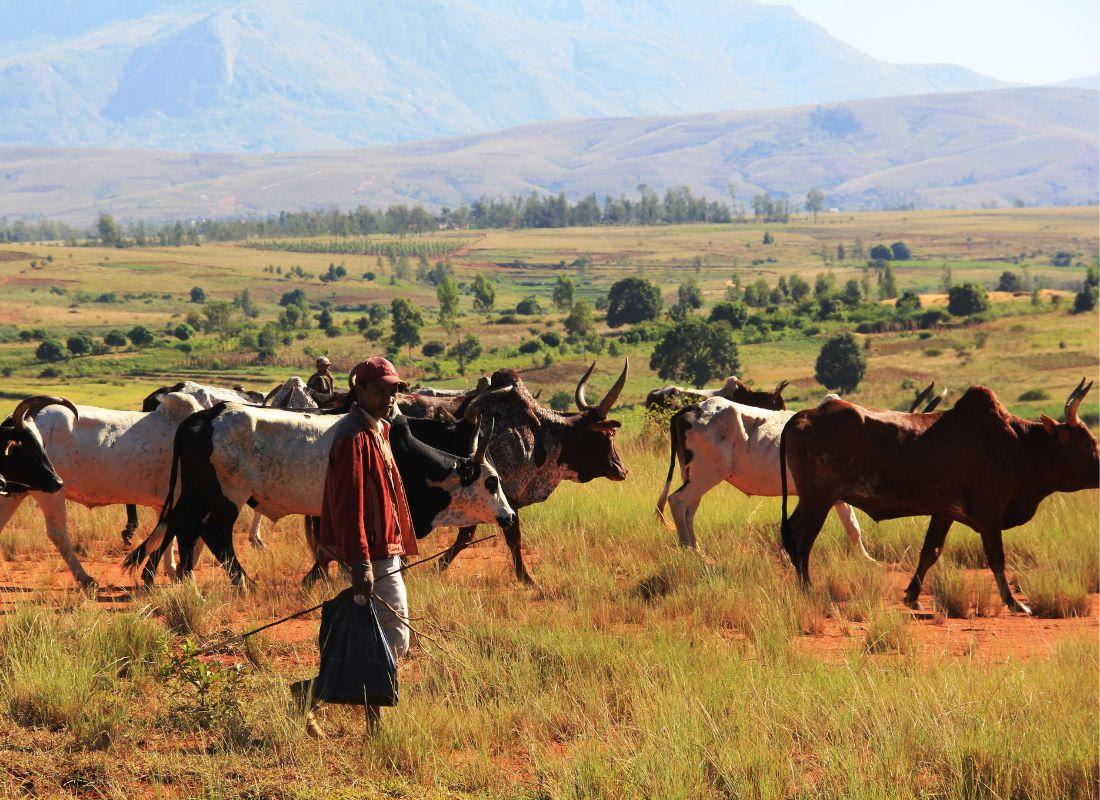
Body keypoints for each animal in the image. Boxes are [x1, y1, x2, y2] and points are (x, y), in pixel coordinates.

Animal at [124, 402, 514, 585]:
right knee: (213, 535)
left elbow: (328, 550)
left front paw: (318, 577)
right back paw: (243, 583)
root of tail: (202, 417)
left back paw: (173, 577)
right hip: (226, 497)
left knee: (183, 528)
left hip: (196, 494)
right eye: (491, 481)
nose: (509, 516)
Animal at [778, 380, 1095, 611]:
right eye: (1088, 444)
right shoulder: (989, 515)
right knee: (800, 541)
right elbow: (996, 559)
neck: (1019, 445)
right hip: (818, 501)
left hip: (814, 501)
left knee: (793, 538)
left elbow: (930, 552)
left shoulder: (945, 512)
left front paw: (912, 596)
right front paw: (1015, 603)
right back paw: (808, 591)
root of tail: (802, 417)